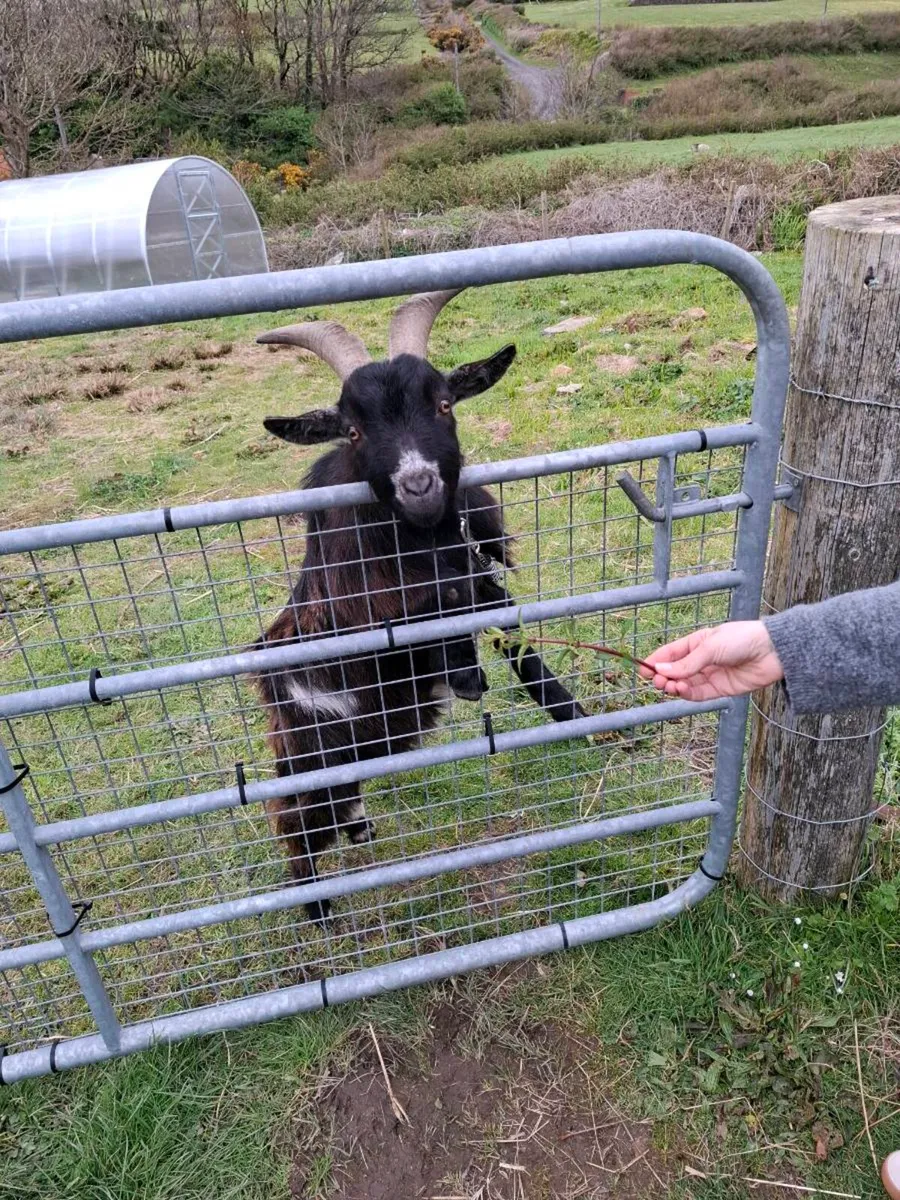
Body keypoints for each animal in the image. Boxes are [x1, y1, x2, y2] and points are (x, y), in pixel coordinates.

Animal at [254, 289, 586, 923]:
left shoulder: (479, 564)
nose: (419, 487)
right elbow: (442, 609)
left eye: (444, 402)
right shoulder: (379, 606)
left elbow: (514, 636)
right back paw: (317, 907)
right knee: (295, 819)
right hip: (320, 750)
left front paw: (575, 717)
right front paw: (465, 676)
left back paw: (359, 830)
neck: (427, 539)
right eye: (353, 432)